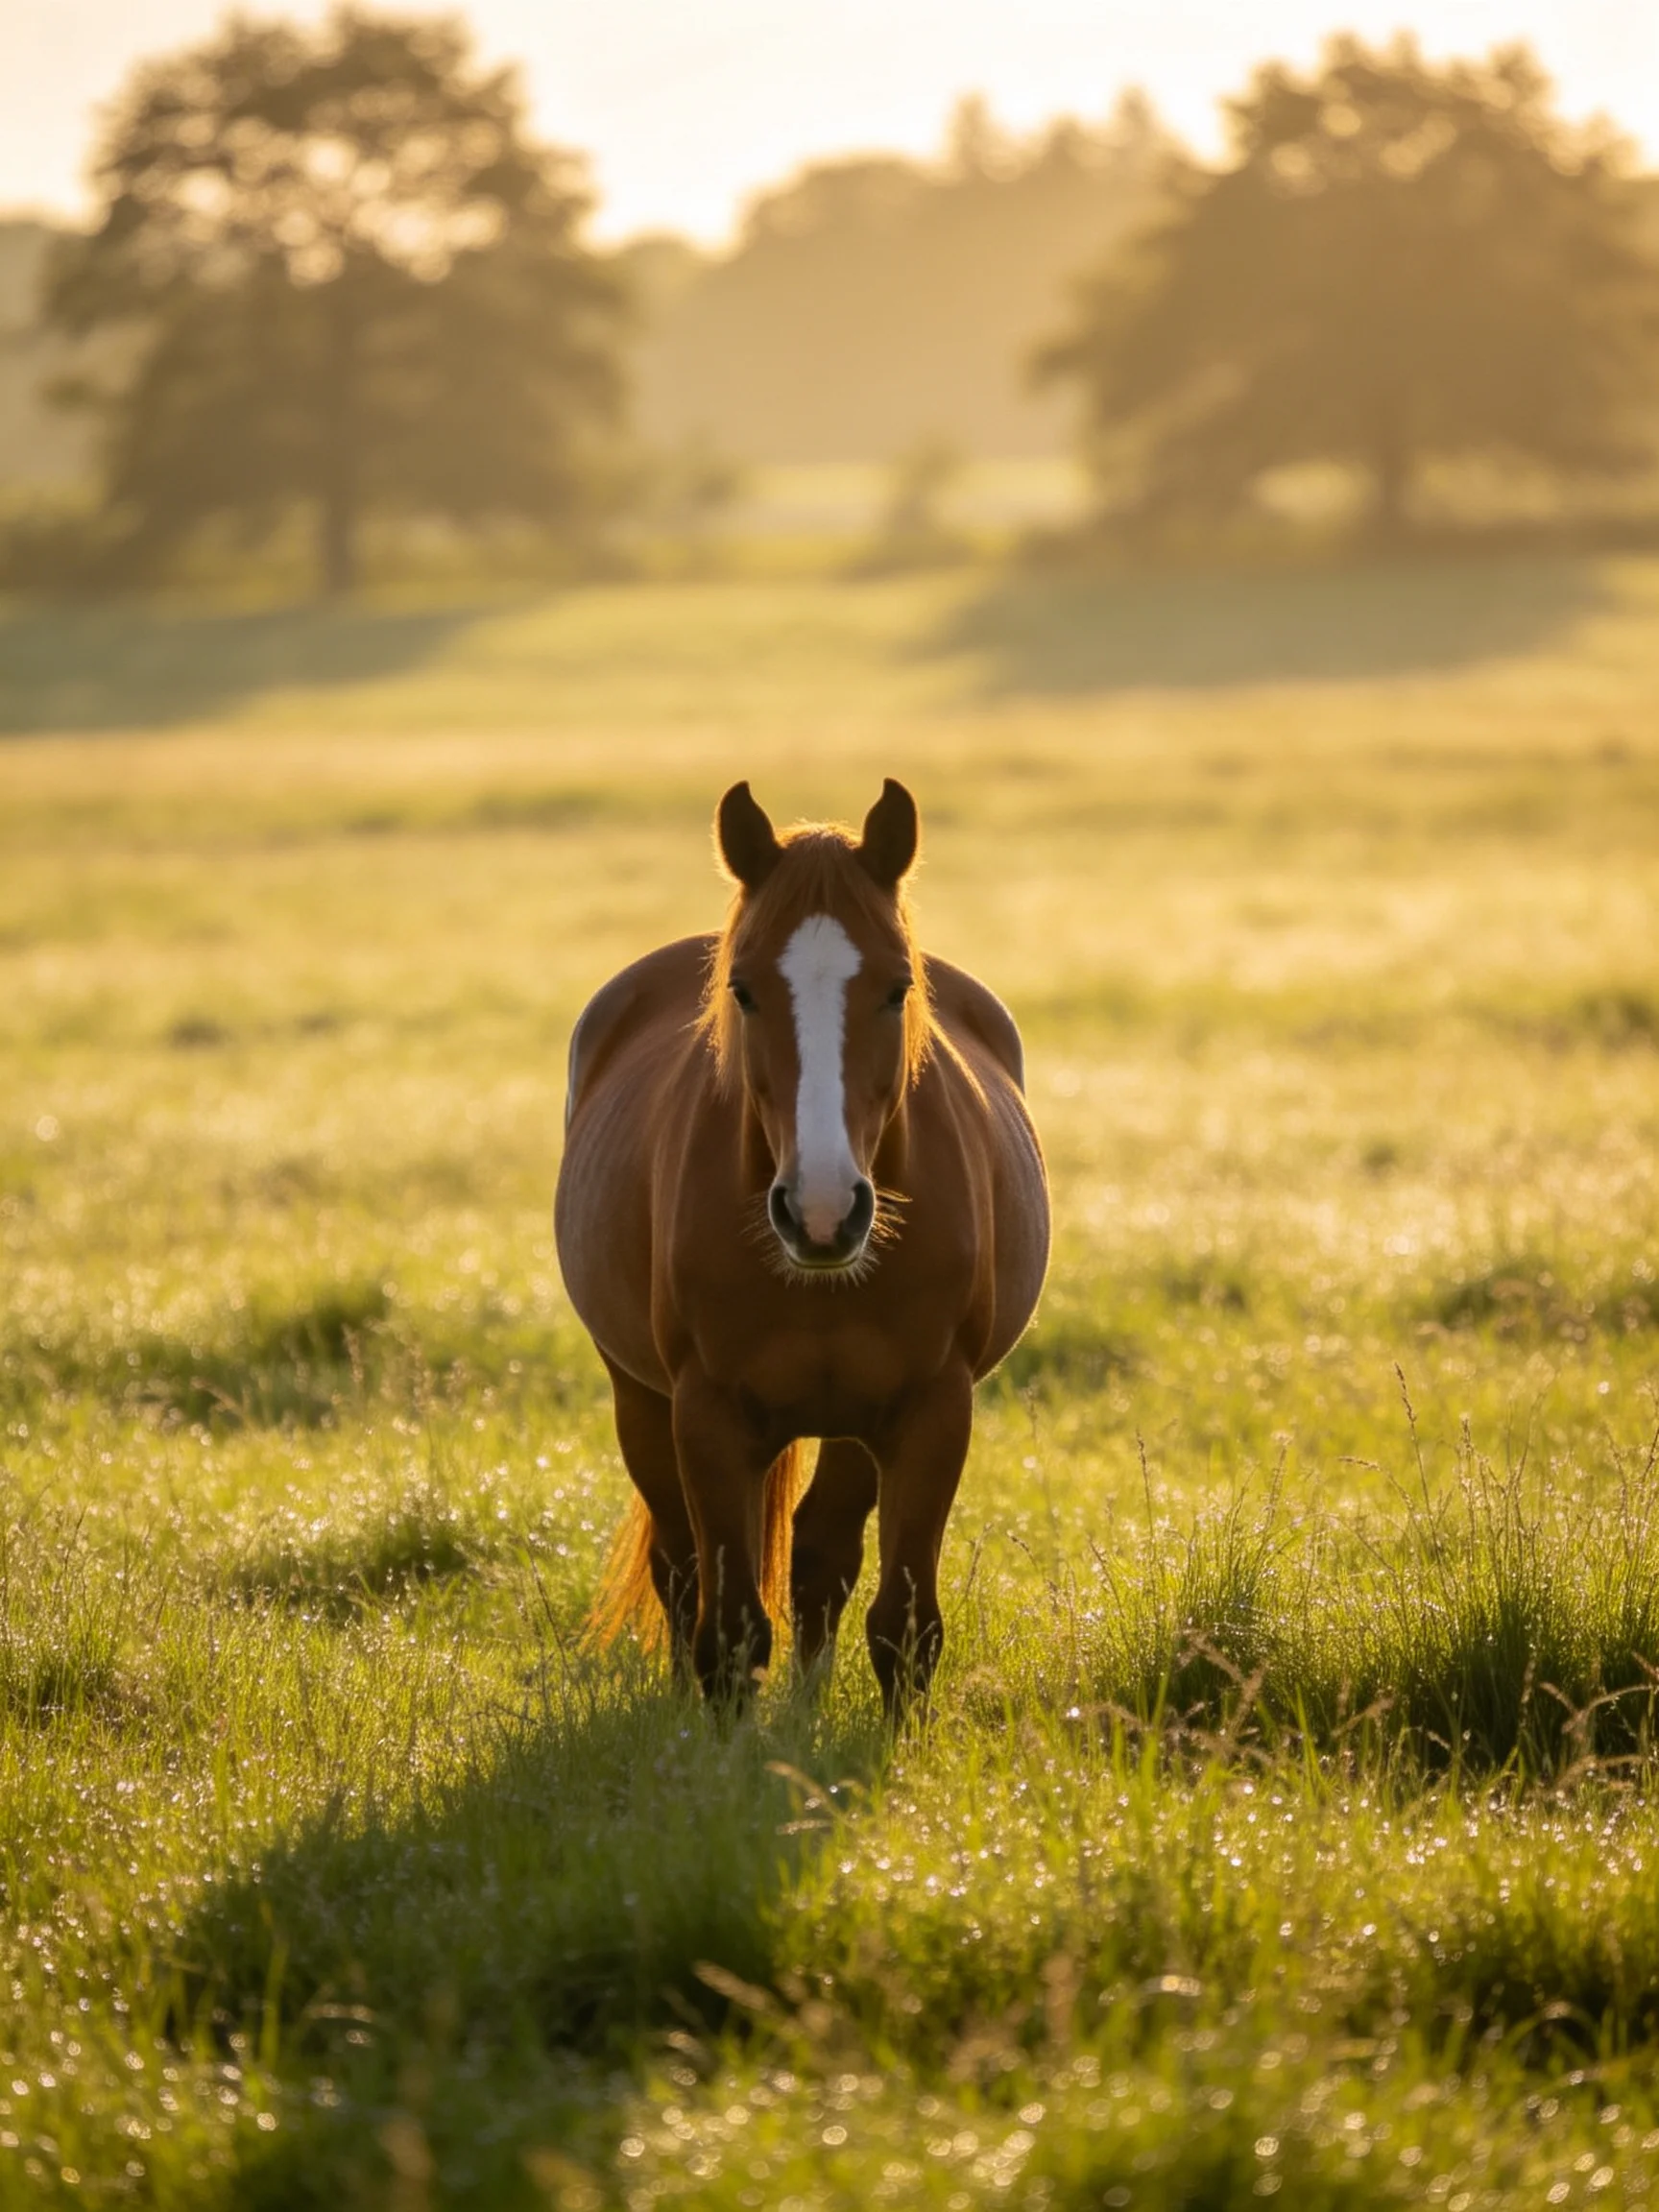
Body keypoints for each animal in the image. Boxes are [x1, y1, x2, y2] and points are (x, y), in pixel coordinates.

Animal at [555, 778, 1049, 1709]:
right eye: (744, 991)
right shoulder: (707, 1414)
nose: (822, 1212)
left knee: (820, 1557)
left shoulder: (929, 1410)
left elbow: (902, 1626)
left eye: (896, 988)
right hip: (639, 1396)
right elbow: (730, 1629)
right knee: (681, 1567)